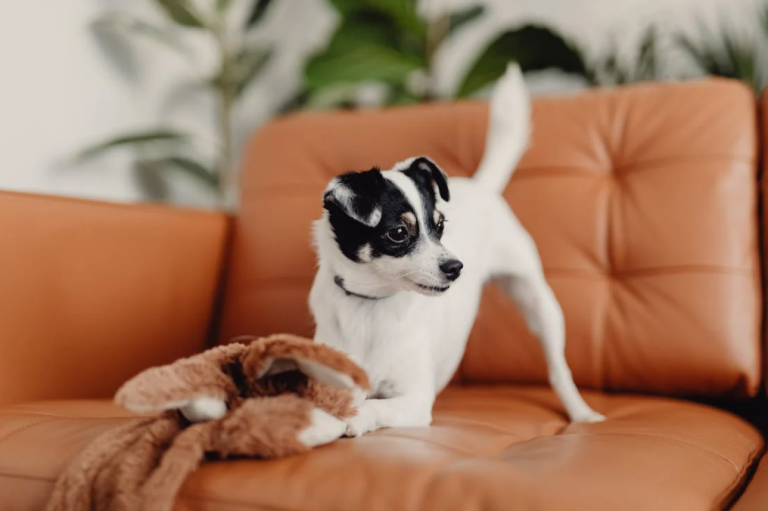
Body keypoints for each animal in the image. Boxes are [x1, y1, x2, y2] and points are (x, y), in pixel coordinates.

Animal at [308, 65, 604, 440]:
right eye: (398, 233)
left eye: (440, 226)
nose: (456, 267)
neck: (372, 304)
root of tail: (482, 186)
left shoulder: (415, 400)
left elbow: (373, 405)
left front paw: (354, 418)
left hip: (539, 303)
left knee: (558, 369)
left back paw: (581, 412)